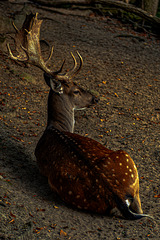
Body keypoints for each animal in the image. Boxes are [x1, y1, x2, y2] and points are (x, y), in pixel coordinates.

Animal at [7, 12, 152, 219]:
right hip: (126, 160)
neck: (54, 128)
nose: (95, 98)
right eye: (76, 90)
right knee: (140, 207)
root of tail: (116, 195)